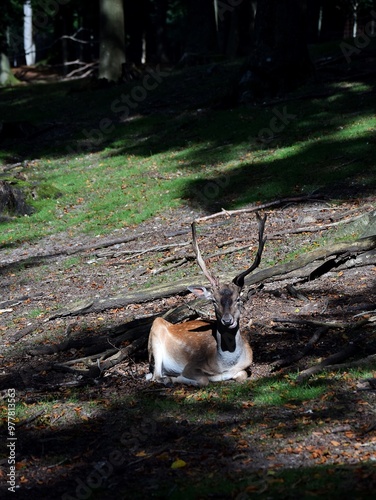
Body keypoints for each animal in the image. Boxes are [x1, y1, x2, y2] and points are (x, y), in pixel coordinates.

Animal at [147, 211, 268, 386]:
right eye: (214, 301)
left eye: (238, 299)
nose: (227, 320)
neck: (224, 364)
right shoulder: (191, 365)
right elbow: (203, 379)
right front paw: (178, 377)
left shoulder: (247, 364)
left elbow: (242, 375)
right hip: (155, 333)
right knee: (155, 376)